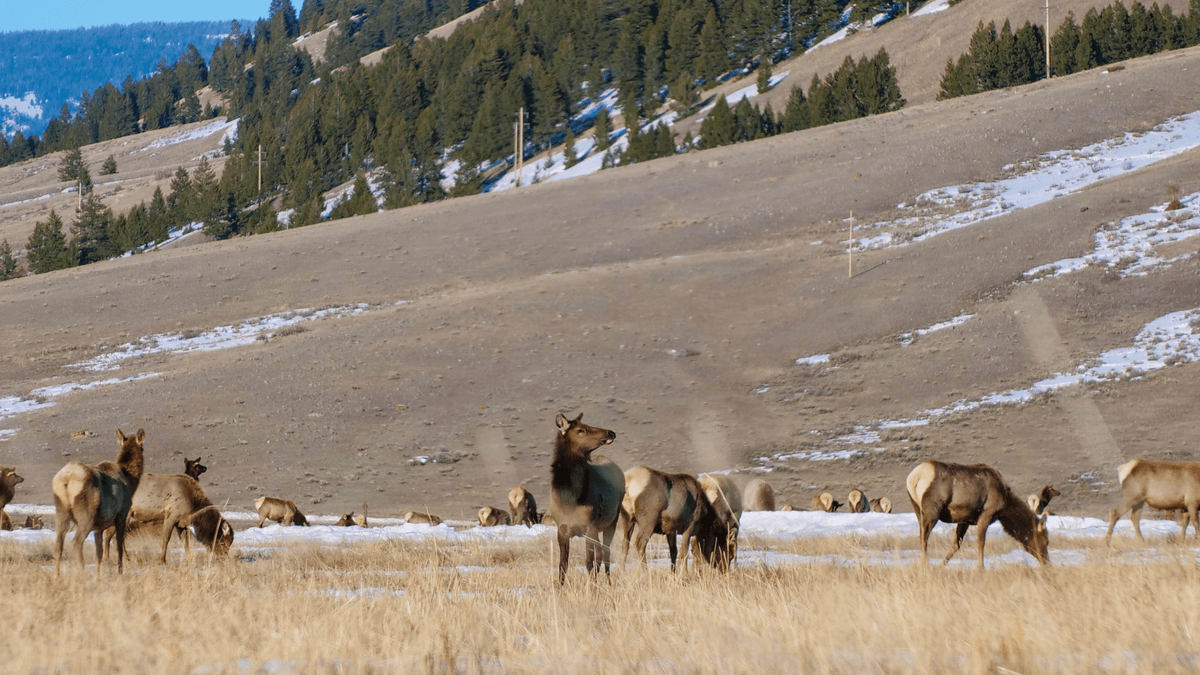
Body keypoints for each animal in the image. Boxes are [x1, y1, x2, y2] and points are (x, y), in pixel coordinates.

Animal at [53, 428, 146, 575]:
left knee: (58, 545)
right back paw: (82, 575)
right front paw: (120, 573)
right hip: (86, 515)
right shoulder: (122, 514)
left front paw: (98, 576)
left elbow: (99, 553)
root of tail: (67, 479)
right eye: (142, 447)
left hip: (61, 512)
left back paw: (57, 577)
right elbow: (118, 547)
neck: (131, 482)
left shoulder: (98, 527)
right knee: (76, 542)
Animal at [549, 412, 624, 585]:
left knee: (606, 553)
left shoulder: (590, 528)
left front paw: (592, 587)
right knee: (601, 553)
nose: (611, 432)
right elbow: (562, 565)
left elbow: (589, 563)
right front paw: (559, 588)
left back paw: (609, 583)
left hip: (612, 521)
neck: (570, 498)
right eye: (581, 430)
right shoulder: (561, 529)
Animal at [907, 460, 1050, 568]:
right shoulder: (986, 514)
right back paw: (924, 564)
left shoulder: (964, 520)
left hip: (917, 508)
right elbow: (981, 542)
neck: (1005, 505)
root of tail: (914, 477)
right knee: (924, 537)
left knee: (922, 535)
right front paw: (981, 567)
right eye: (1045, 540)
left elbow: (956, 544)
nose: (1047, 562)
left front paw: (940, 566)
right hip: (932, 510)